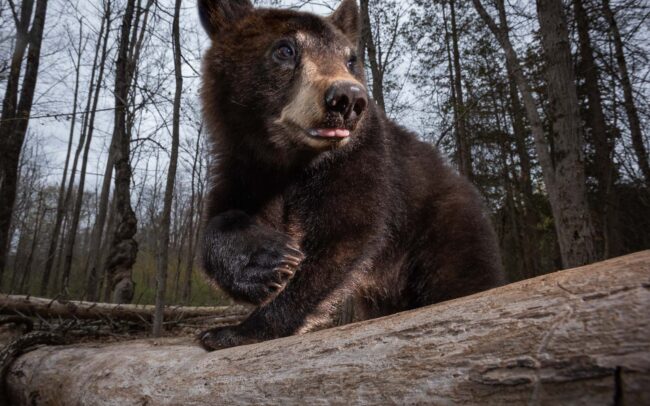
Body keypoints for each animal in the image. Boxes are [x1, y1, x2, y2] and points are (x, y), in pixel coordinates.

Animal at [197, 0, 504, 350]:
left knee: (461, 279)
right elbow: (222, 214)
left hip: (447, 232)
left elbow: (345, 234)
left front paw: (238, 330)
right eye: (285, 49)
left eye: (350, 58)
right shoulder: (246, 166)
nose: (347, 99)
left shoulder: (362, 160)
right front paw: (263, 262)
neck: (292, 159)